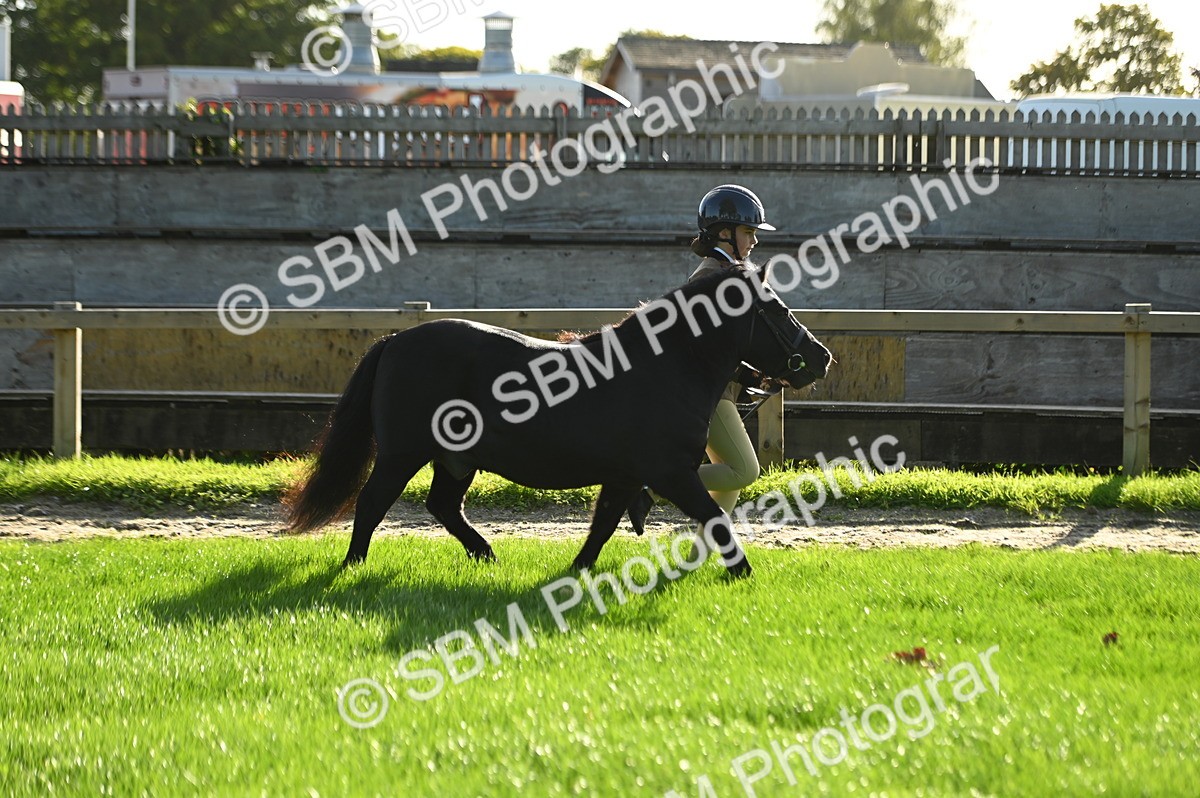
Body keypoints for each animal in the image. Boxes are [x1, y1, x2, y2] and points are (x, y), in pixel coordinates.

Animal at [283, 265, 832, 577]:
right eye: (777, 309)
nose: (821, 357)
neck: (663, 368)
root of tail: (394, 340)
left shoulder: (625, 477)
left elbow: (603, 527)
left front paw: (577, 572)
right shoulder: (671, 472)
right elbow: (714, 517)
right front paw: (743, 572)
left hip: (456, 460)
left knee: (442, 506)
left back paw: (486, 556)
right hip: (403, 453)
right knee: (372, 503)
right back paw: (352, 567)